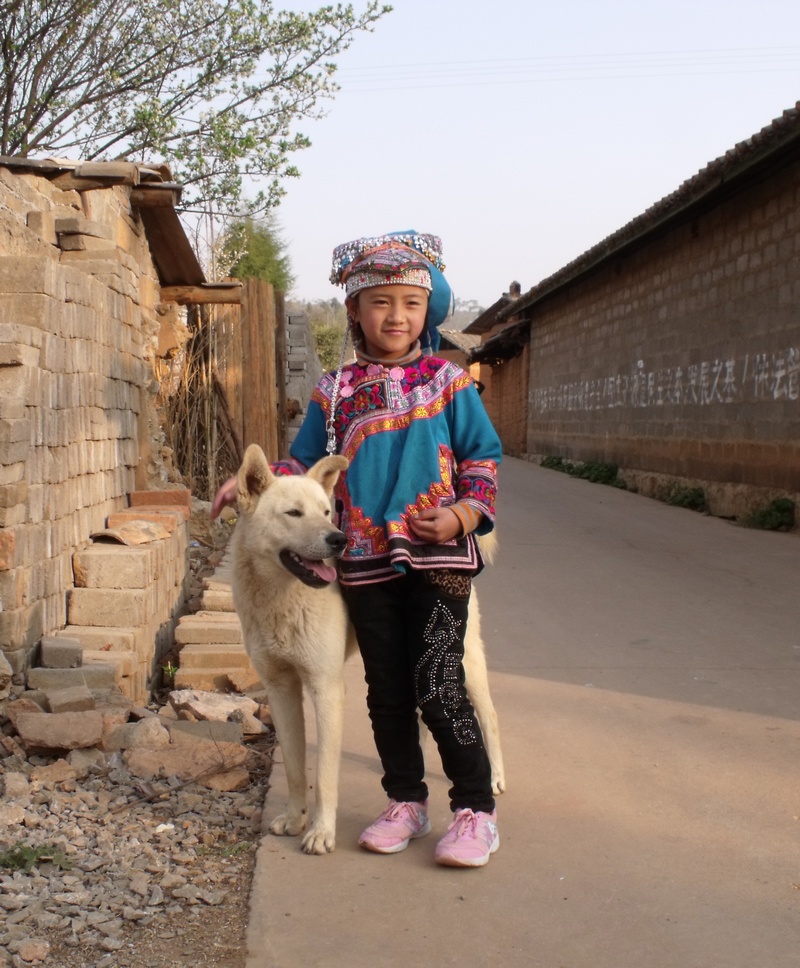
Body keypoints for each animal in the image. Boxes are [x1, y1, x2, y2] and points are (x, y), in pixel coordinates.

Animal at [231, 444, 506, 856]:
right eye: (293, 513)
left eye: (325, 512)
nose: (339, 540)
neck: (279, 598)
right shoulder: (281, 690)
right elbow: (295, 767)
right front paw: (295, 818)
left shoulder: (326, 689)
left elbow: (324, 774)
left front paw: (321, 832)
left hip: (462, 661)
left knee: (487, 716)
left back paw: (495, 778)